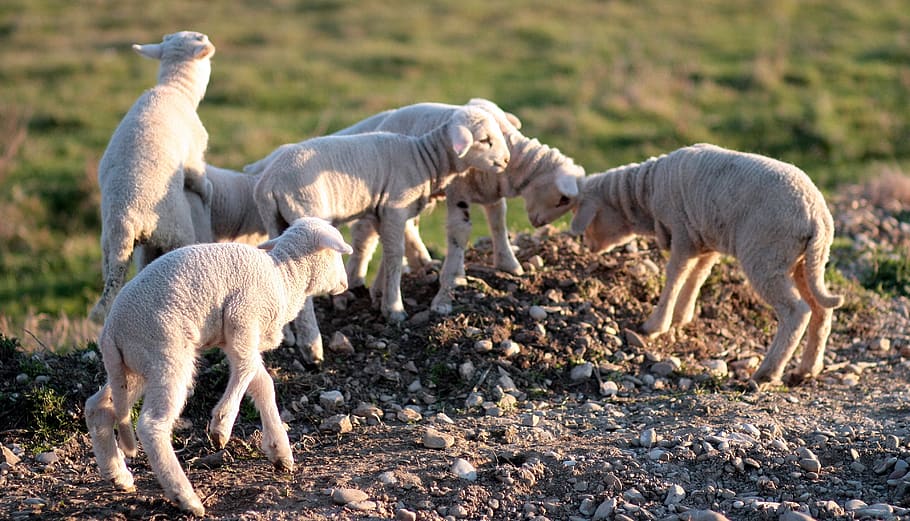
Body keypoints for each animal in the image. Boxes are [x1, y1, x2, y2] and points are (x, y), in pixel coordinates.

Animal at [84, 217, 352, 516]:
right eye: (336, 254)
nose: (345, 283)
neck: (284, 277)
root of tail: (111, 332)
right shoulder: (242, 319)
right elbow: (246, 370)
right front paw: (221, 427)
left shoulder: (238, 337)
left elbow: (261, 382)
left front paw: (279, 451)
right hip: (167, 355)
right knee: (152, 425)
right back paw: (185, 497)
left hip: (134, 367)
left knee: (98, 407)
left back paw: (118, 475)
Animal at [89, 31, 217, 324]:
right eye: (200, 38)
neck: (174, 88)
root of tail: (127, 220)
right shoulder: (194, 155)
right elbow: (200, 181)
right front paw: (208, 195)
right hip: (177, 231)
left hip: (109, 248)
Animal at [252, 106, 510, 363]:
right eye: (485, 140)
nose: (506, 160)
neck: (423, 158)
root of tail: (270, 184)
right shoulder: (395, 206)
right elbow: (396, 254)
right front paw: (394, 309)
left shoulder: (382, 212)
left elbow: (388, 252)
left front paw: (379, 295)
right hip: (306, 210)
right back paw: (311, 347)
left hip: (274, 220)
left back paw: (285, 336)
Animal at [570, 143, 844, 385]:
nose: (588, 245)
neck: (646, 191)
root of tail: (816, 217)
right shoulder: (705, 239)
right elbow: (698, 275)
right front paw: (682, 317)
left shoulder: (682, 232)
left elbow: (676, 275)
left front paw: (654, 326)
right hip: (806, 260)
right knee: (821, 309)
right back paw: (807, 369)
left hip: (766, 255)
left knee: (796, 311)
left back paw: (766, 373)